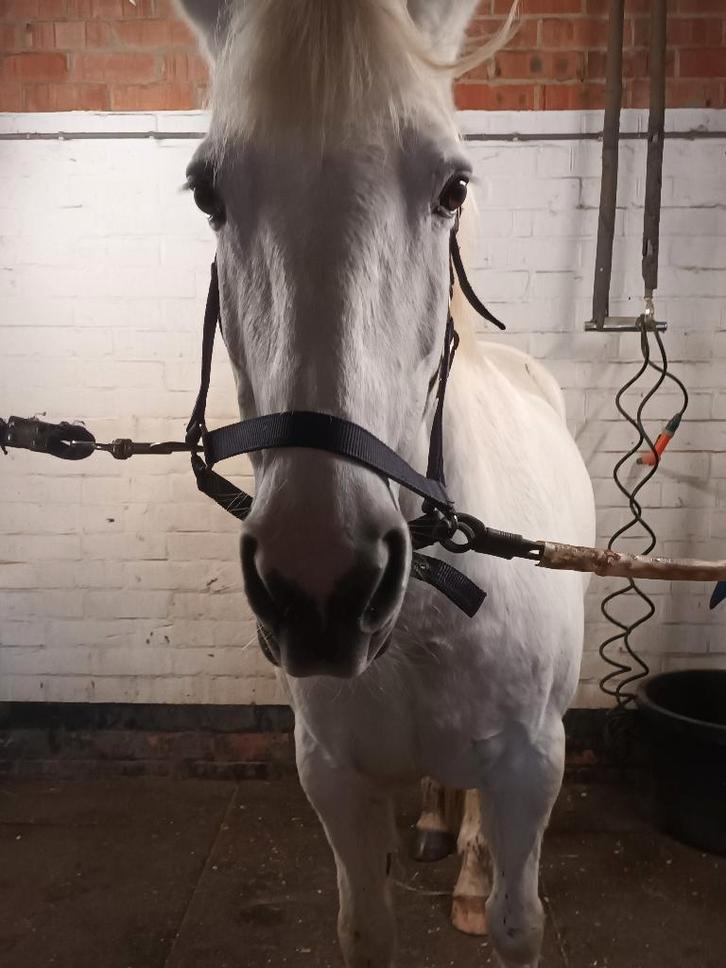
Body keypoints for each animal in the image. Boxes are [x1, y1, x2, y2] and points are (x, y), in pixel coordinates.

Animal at [176, 1, 596, 965]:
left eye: (453, 188)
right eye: (207, 193)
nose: (322, 586)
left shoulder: (532, 768)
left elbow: (519, 922)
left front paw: (485, 892)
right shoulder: (335, 780)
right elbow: (364, 924)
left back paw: (469, 867)